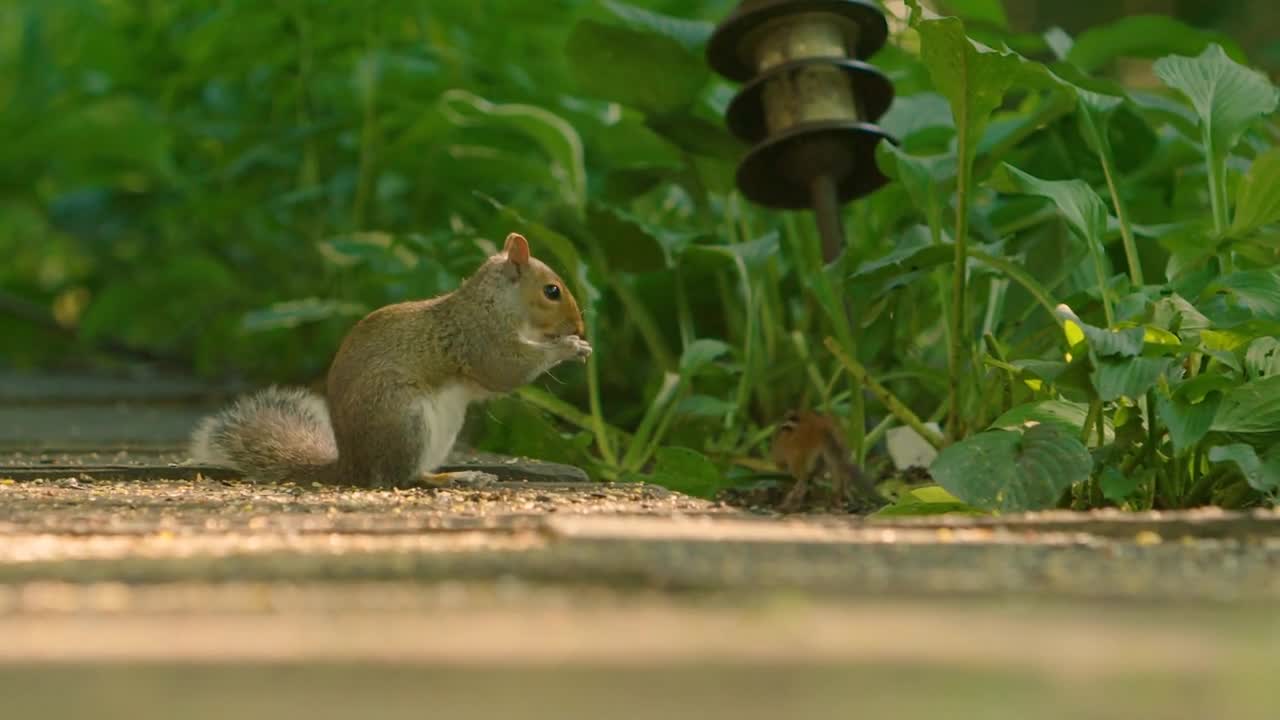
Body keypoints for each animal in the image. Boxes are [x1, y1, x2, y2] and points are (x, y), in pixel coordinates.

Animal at [192, 233, 591, 484]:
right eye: (552, 291)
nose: (580, 327)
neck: (492, 301)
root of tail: (351, 466)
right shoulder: (480, 338)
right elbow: (507, 369)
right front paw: (570, 347)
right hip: (405, 418)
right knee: (402, 476)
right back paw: (458, 476)